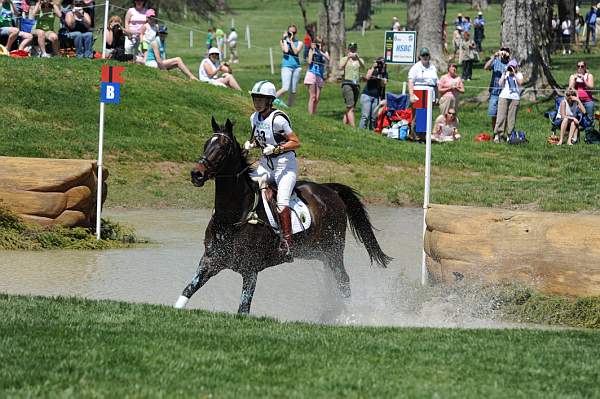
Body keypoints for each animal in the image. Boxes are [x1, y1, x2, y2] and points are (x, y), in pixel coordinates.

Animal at [173, 117, 392, 314]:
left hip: (334, 250)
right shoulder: (210, 262)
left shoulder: (250, 271)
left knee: (343, 280)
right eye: (206, 144)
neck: (232, 217)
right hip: (319, 253)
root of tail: (329, 190)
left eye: (223, 147)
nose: (196, 174)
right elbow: (186, 292)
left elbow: (243, 309)